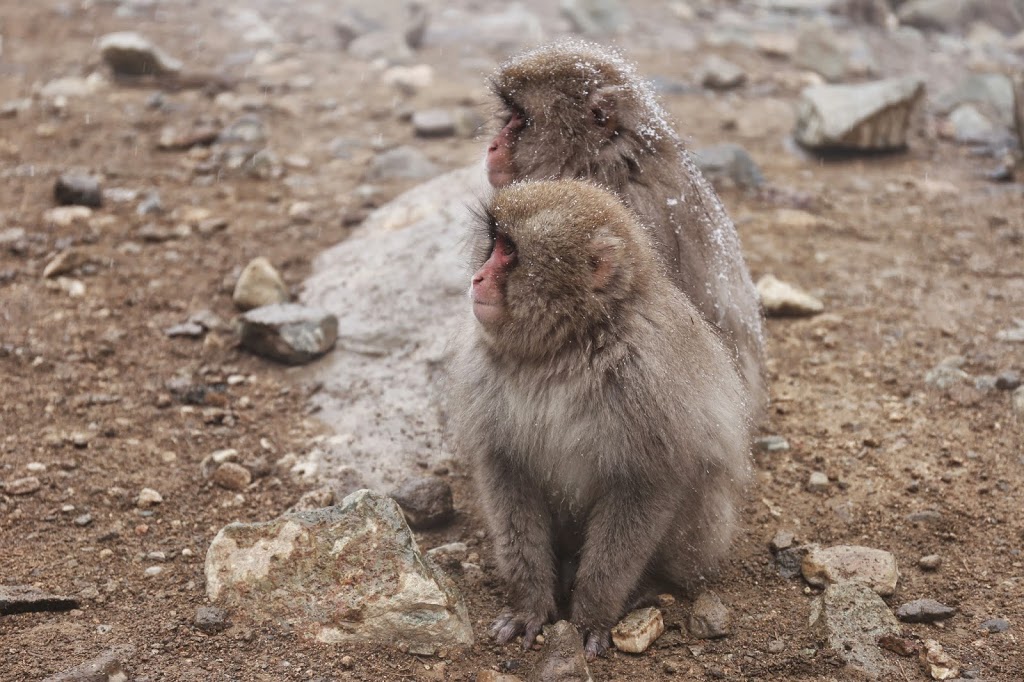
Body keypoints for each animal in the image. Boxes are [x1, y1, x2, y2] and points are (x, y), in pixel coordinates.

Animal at [448, 178, 753, 655]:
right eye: (495, 245)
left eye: (510, 251)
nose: (477, 278)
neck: (567, 346)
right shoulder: (483, 373)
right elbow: (506, 471)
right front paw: (530, 604)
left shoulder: (646, 381)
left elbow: (647, 484)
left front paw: (593, 614)